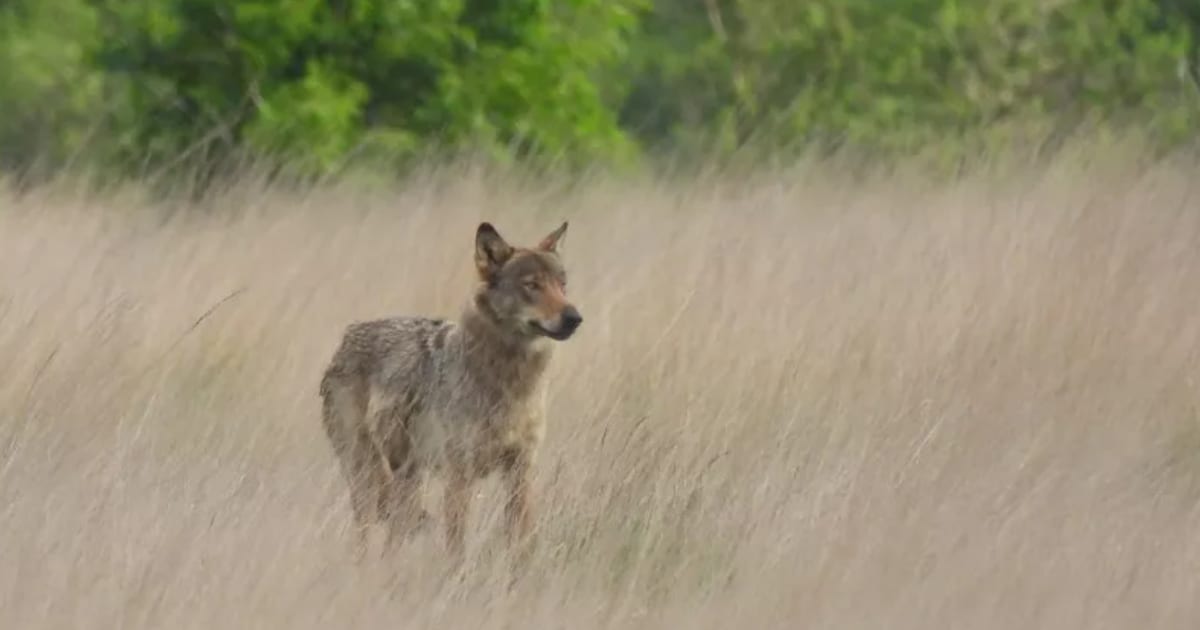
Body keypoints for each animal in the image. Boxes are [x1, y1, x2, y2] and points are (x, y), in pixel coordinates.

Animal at [319, 221, 582, 568]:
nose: (574, 318)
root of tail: (347, 337)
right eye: (532, 285)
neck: (508, 384)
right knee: (365, 536)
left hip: (407, 480)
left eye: (562, 285)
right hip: (368, 479)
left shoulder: (520, 473)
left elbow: (521, 546)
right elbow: (456, 549)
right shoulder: (459, 477)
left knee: (394, 535)